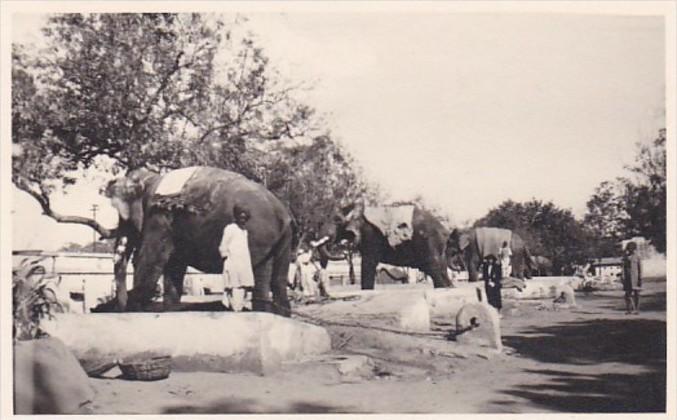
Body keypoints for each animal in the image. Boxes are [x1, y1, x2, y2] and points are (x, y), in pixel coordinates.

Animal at [101, 166, 292, 316]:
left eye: (124, 218)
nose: (118, 308)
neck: (152, 178)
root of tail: (283, 214)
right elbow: (174, 266)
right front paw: (170, 310)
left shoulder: (159, 218)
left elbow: (150, 261)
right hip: (282, 240)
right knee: (278, 280)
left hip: (258, 237)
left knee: (260, 274)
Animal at [320, 203, 454, 288]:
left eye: (337, 221)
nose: (344, 254)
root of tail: (445, 230)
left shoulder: (370, 236)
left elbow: (368, 264)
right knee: (441, 272)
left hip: (430, 243)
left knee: (435, 271)